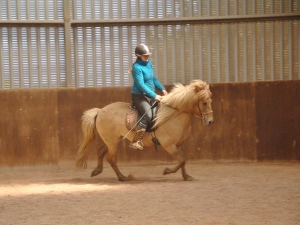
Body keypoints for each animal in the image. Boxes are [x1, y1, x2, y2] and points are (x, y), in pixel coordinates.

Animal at [75, 79, 213, 181]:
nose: (210, 122)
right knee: (111, 158)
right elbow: (181, 160)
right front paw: (167, 171)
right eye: (204, 103)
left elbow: (183, 160)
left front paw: (186, 176)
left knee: (101, 152)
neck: (173, 115)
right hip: (112, 142)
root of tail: (99, 111)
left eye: (210, 100)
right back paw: (122, 177)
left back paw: (97, 171)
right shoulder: (169, 145)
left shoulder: (179, 145)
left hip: (112, 140)